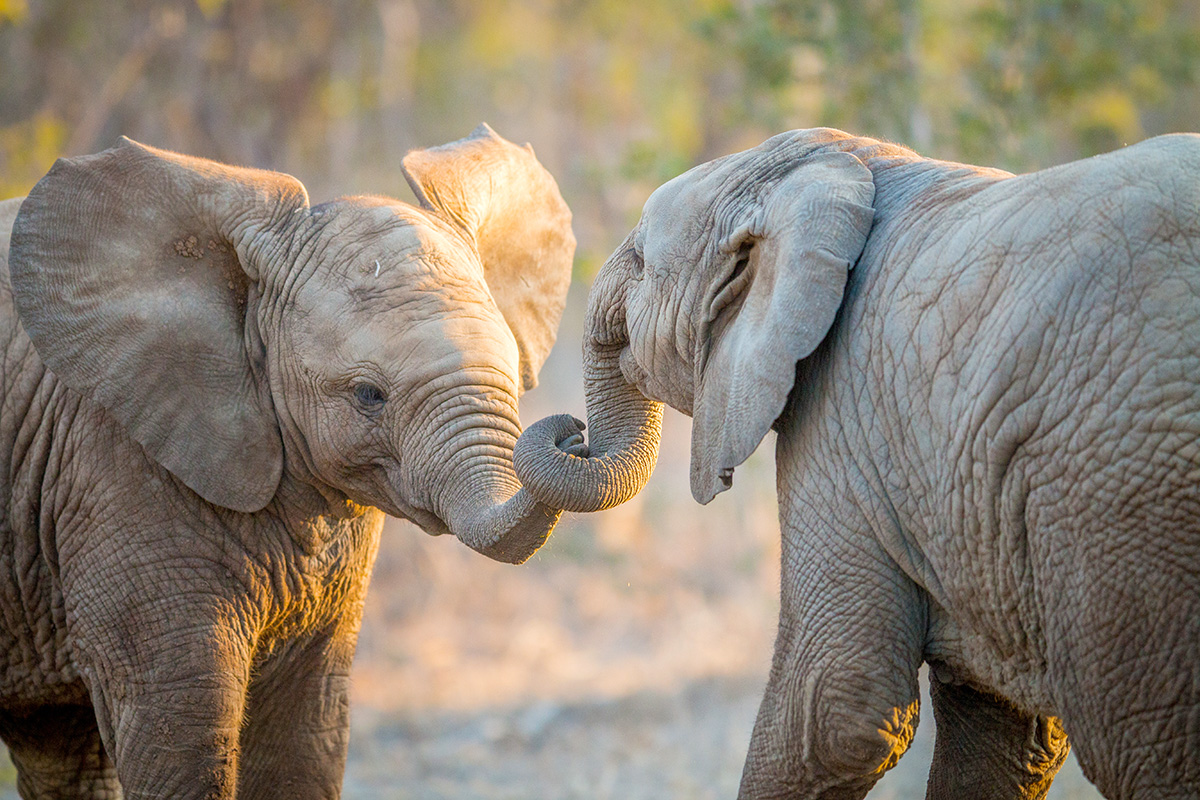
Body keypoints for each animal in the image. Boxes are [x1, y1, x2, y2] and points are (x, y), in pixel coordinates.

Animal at [0, 123, 575, 798]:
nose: (573, 434)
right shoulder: (109, 469)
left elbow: (303, 735)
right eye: (368, 395)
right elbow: (181, 735)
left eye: (513, 370)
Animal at [513, 127, 1200, 799]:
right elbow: (1006, 730)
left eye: (640, 262)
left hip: (1120, 492)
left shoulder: (839, 415)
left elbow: (830, 708)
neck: (849, 165)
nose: (571, 432)